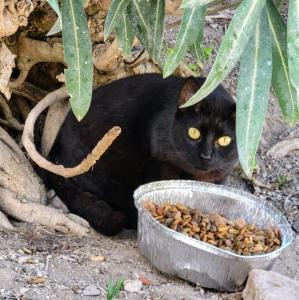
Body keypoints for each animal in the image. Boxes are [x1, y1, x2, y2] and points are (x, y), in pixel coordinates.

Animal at [44, 74, 238, 236]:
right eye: (193, 133)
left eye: (224, 140)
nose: (206, 156)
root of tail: (54, 150)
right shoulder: (159, 164)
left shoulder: (220, 176)